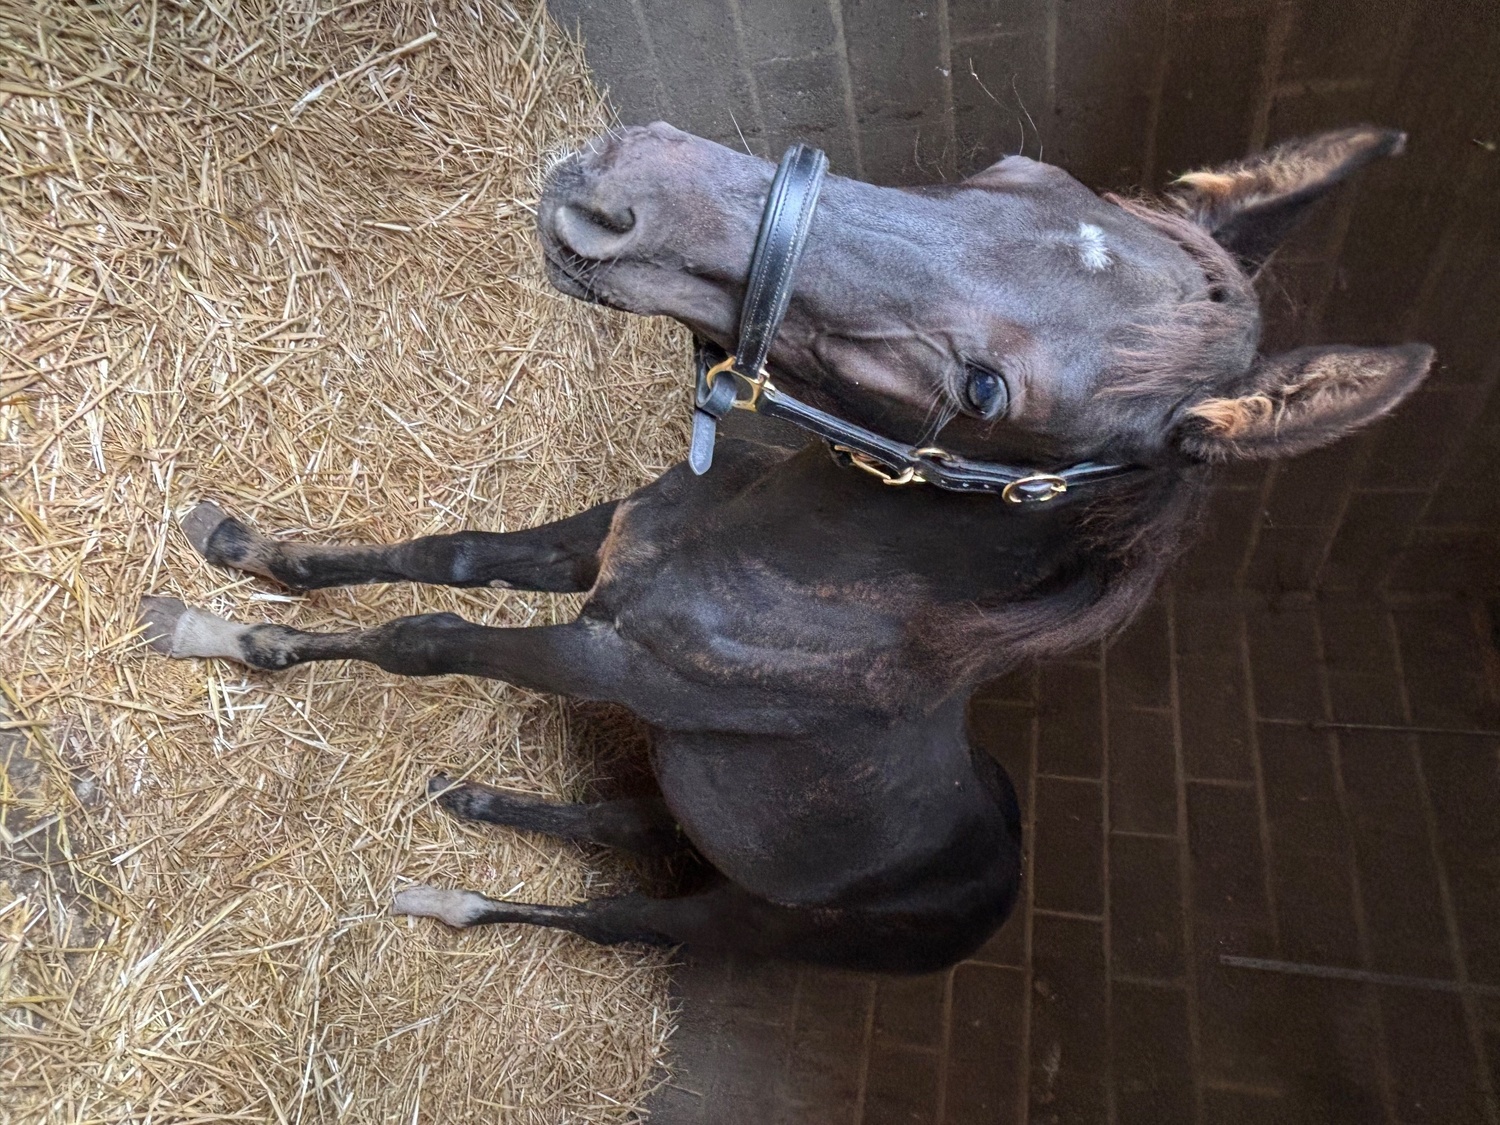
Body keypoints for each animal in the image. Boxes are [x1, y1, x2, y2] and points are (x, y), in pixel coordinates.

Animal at [140, 122, 1432, 973]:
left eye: (987, 388)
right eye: (1012, 174)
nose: (619, 189)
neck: (796, 570)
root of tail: (996, 896)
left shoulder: (603, 660)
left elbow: (427, 639)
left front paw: (219, 636)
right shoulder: (598, 550)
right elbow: (447, 557)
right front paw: (238, 546)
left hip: (727, 919)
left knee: (616, 918)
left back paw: (441, 902)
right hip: (691, 812)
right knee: (616, 828)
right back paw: (472, 803)